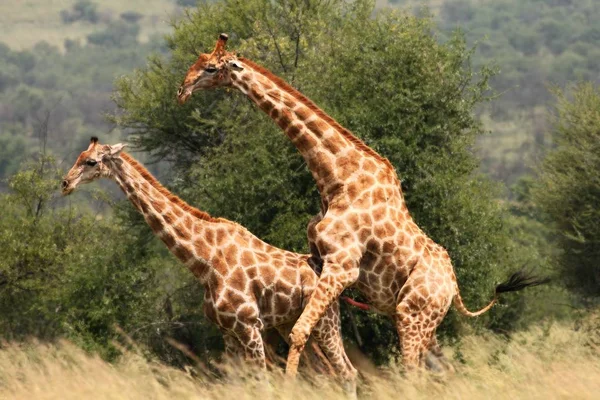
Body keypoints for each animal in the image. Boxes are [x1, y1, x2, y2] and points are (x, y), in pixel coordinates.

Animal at [61, 138, 356, 394]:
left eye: (90, 161)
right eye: (79, 156)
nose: (65, 183)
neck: (204, 262)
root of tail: (321, 266)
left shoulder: (250, 325)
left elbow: (262, 385)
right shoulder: (227, 331)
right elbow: (235, 385)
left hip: (326, 321)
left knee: (346, 372)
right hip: (291, 323)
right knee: (326, 373)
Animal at [176, 33, 548, 376]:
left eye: (211, 67)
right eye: (199, 60)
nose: (182, 90)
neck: (335, 179)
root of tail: (454, 289)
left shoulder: (343, 265)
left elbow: (299, 333)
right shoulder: (318, 260)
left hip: (412, 315)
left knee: (414, 371)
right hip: (426, 322)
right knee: (443, 368)